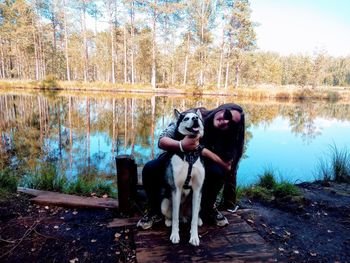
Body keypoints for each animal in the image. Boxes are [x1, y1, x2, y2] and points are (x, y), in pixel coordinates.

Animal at [161, 109, 205, 248]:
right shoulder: (176, 189)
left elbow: (194, 219)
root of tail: (184, 216)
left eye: (197, 117)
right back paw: (168, 221)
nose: (195, 119)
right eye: (186, 118)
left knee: (194, 215)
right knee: (173, 216)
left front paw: (194, 237)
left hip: (198, 204)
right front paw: (175, 235)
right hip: (164, 203)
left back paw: (198, 220)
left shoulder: (197, 189)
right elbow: (175, 217)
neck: (189, 154)